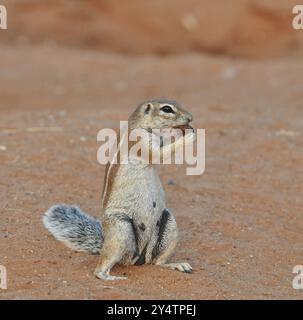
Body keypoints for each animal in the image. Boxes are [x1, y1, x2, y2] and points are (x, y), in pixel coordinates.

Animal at [42, 97, 196, 280]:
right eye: (167, 109)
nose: (190, 118)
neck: (142, 125)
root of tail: (138, 258)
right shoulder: (139, 139)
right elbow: (158, 155)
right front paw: (188, 136)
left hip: (168, 223)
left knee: (157, 262)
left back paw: (176, 265)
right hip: (120, 229)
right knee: (100, 268)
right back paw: (111, 277)